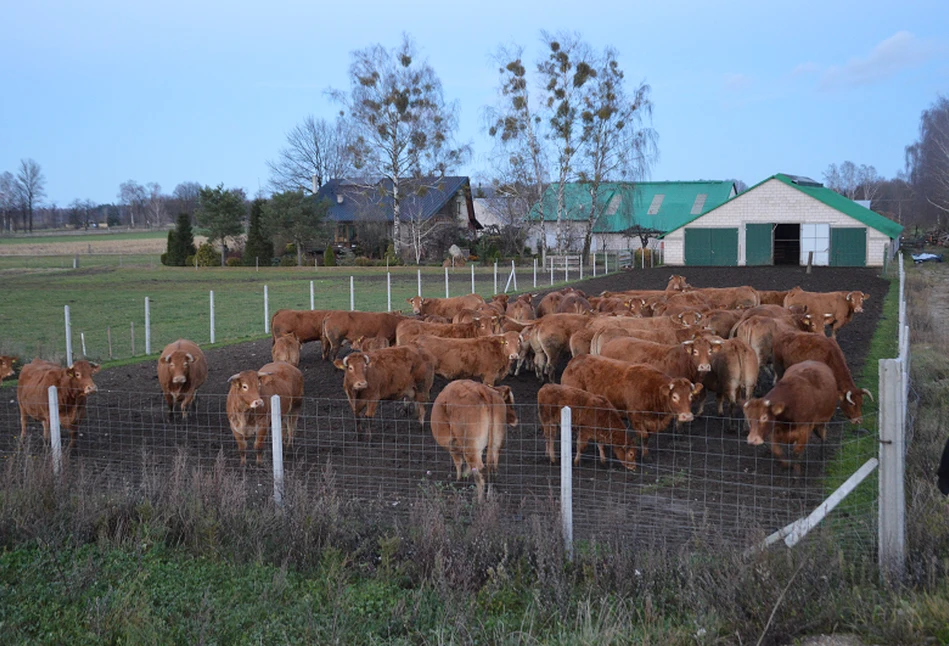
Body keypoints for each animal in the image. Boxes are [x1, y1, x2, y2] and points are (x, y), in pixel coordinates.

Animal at [560, 356, 700, 458]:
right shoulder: (635, 416)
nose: (687, 416)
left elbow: (648, 437)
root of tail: (575, 360)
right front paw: (645, 456)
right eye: (675, 397)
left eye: (690, 396)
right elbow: (644, 436)